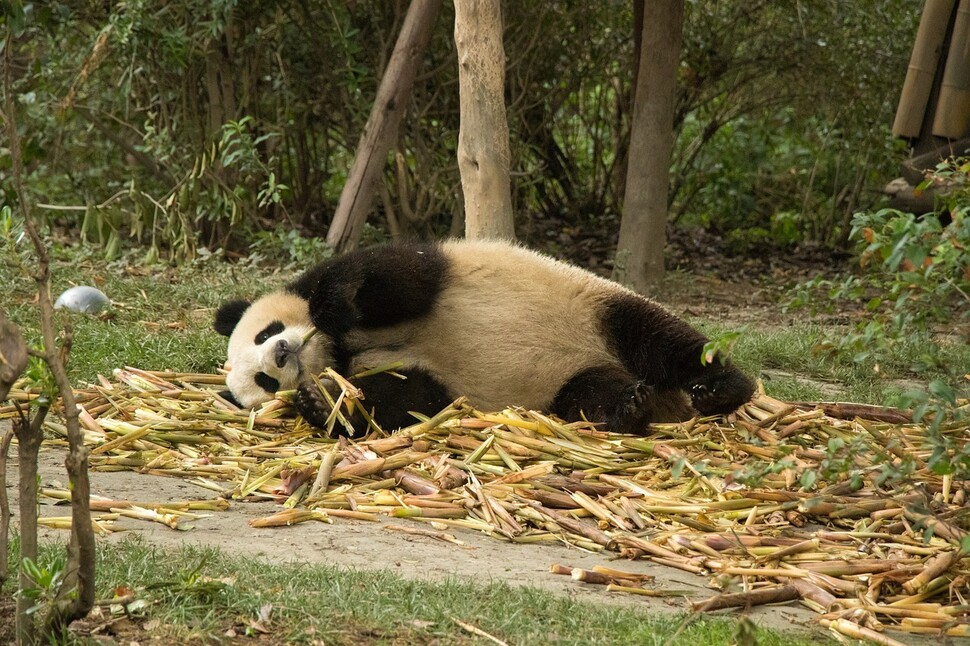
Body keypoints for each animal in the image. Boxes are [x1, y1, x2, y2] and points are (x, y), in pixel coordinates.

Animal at [214, 240, 756, 438]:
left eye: (265, 332)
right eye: (265, 382)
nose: (282, 352)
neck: (340, 349)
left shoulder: (418, 278)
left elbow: (394, 276)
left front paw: (330, 308)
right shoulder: (409, 377)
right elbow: (406, 400)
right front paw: (318, 401)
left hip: (596, 307)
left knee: (661, 339)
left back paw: (722, 390)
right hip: (566, 385)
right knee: (589, 394)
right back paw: (630, 407)